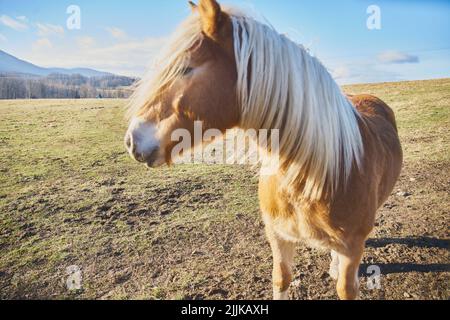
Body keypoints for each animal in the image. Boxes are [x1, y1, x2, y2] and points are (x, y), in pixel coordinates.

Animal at [125, 0, 402, 300]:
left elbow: (345, 286)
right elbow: (281, 279)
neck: (316, 174)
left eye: (186, 68)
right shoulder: (277, 235)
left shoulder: (352, 248)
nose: (132, 140)